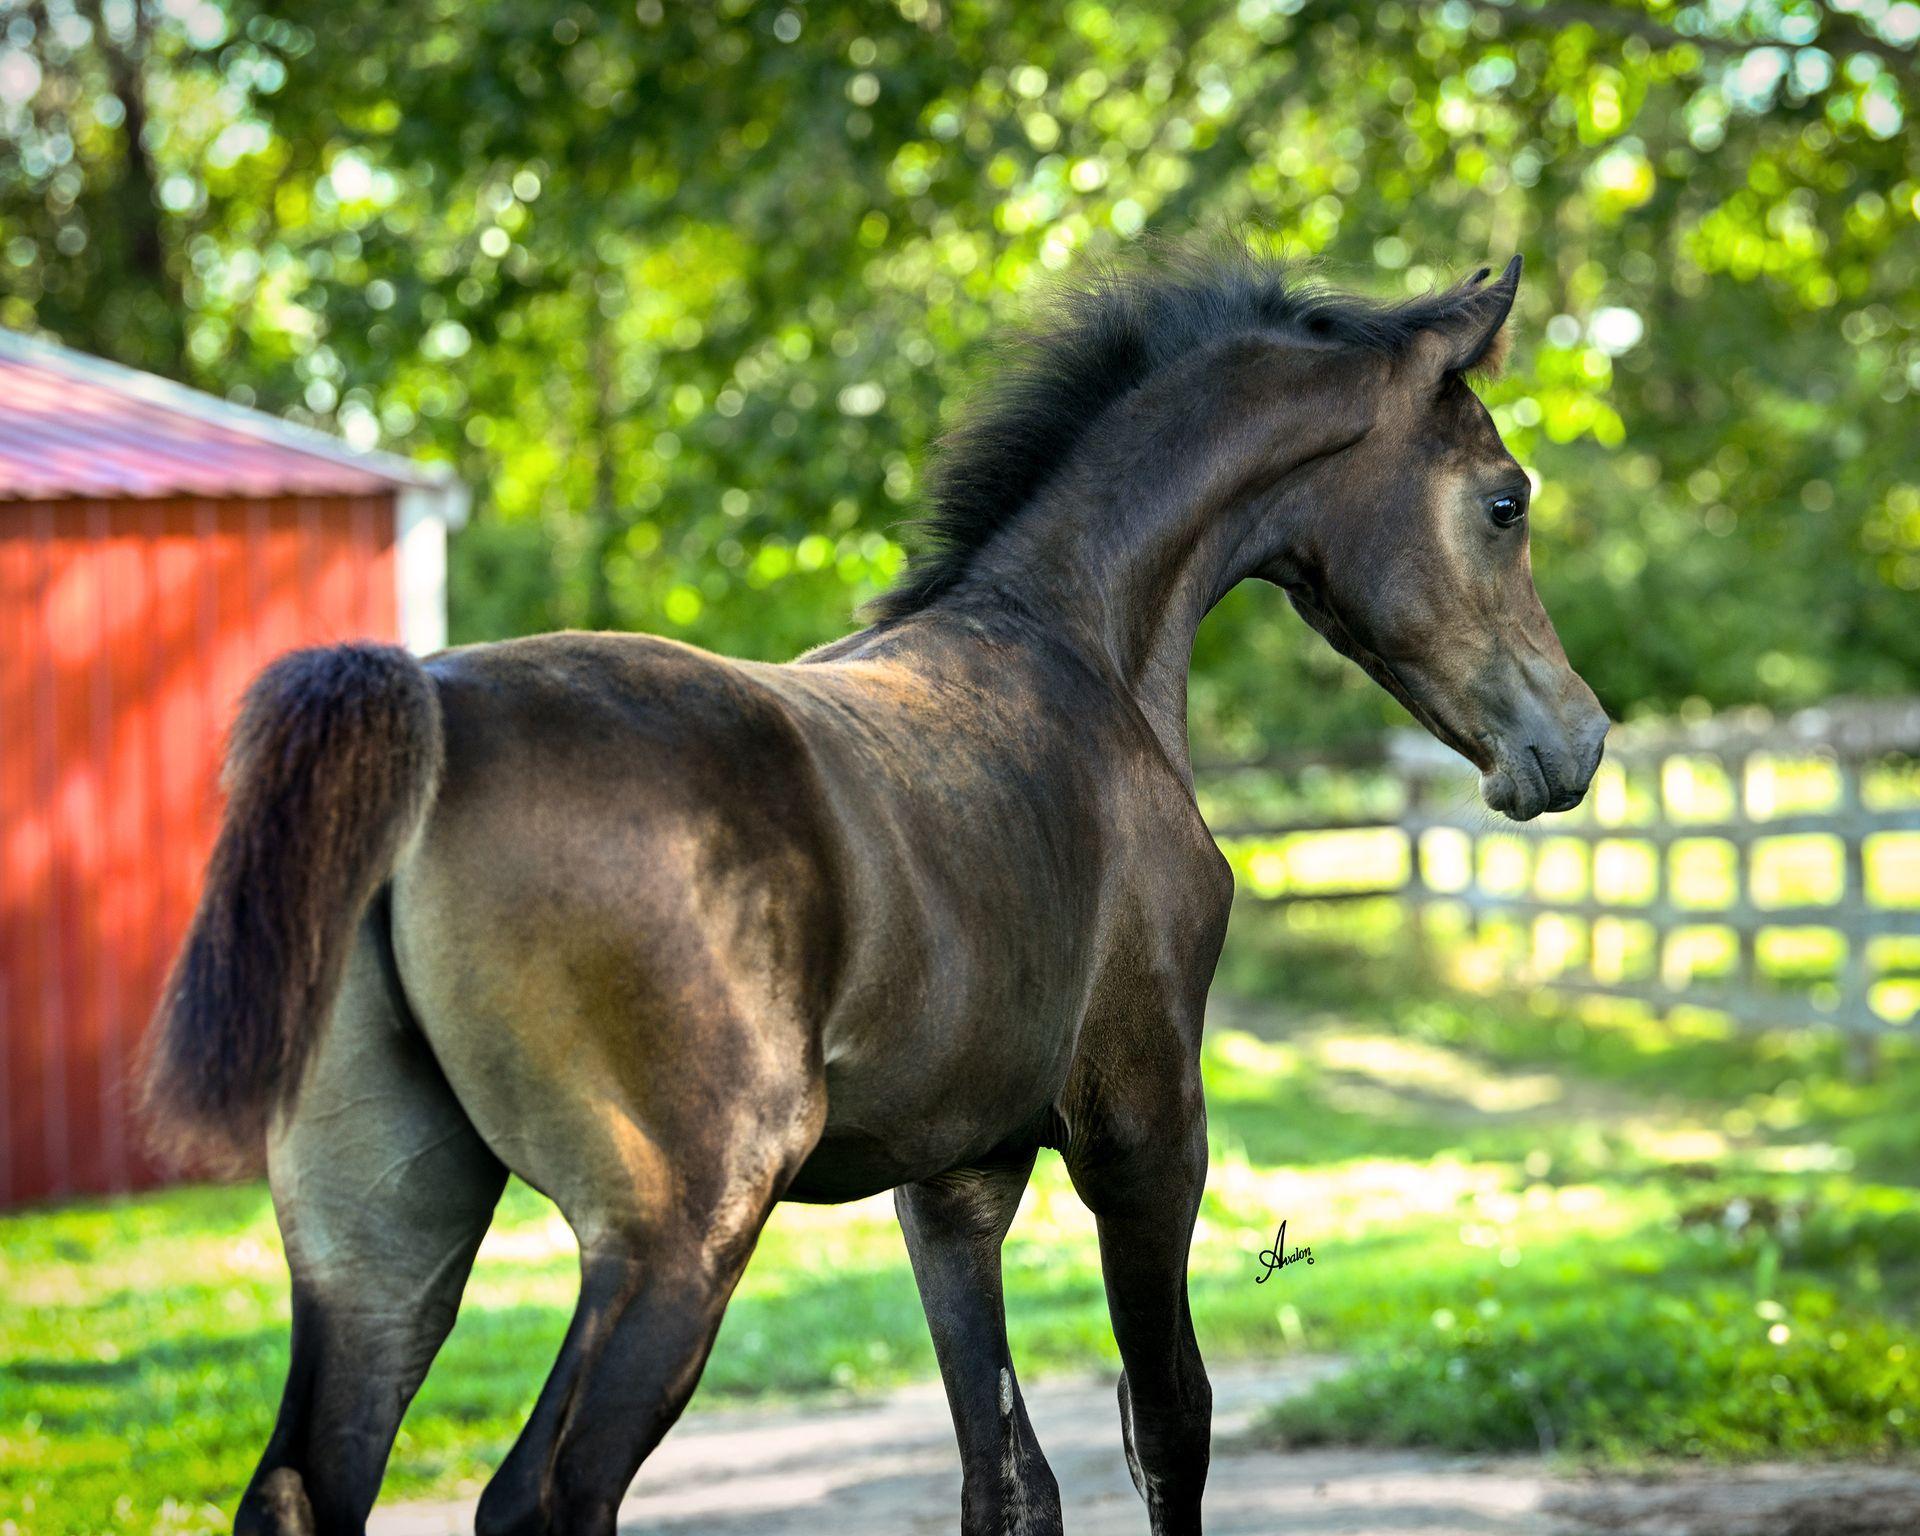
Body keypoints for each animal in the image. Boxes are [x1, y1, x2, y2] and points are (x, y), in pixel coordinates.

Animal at [142, 245, 1605, 1528]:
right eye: (1507, 500)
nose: (1577, 740)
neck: (1077, 647)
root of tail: (428, 714)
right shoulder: (1145, 1134)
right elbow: (1168, 1426)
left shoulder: (952, 1184)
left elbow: (1008, 1478)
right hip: (674, 1234)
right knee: (543, 1497)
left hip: (382, 1231)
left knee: (303, 1488)